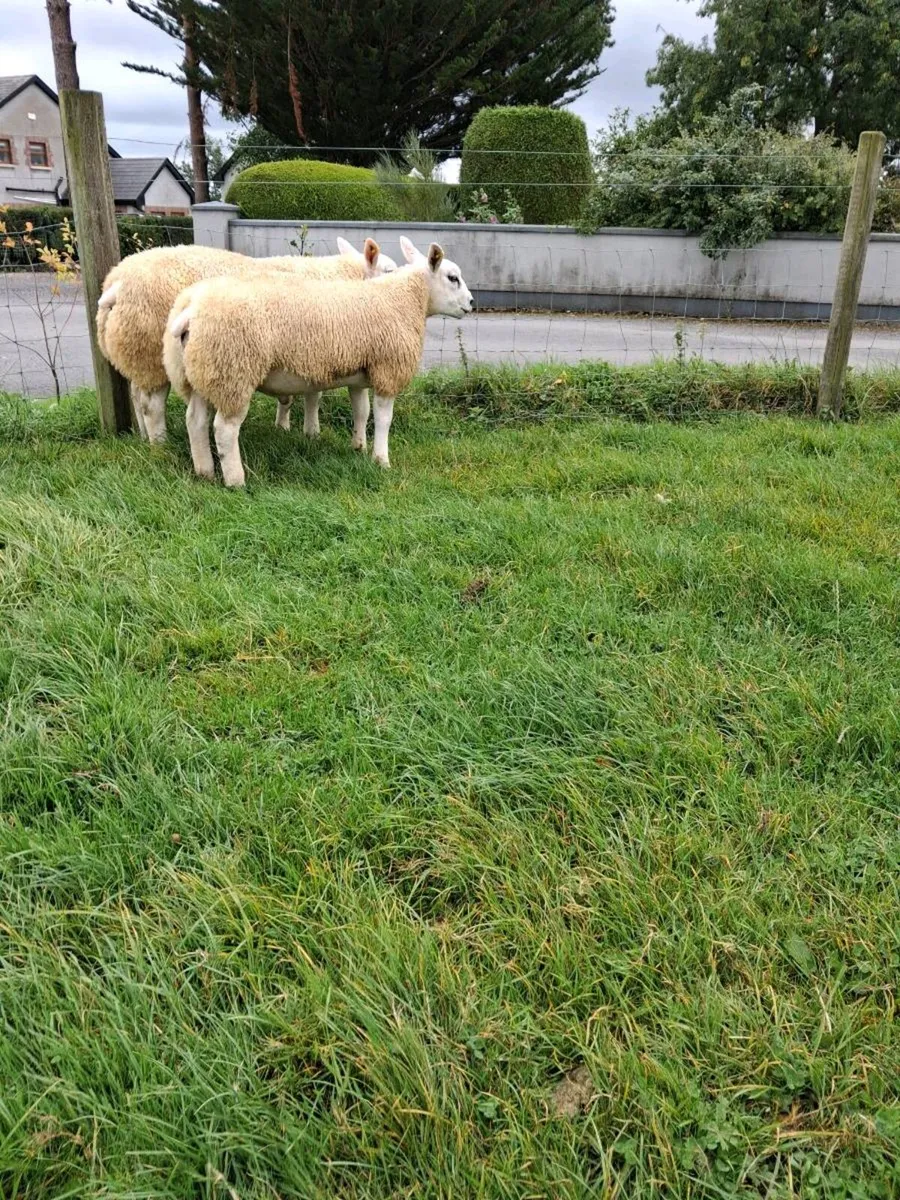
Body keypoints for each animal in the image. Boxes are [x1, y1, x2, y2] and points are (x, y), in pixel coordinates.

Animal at [96, 237, 397, 443]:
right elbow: (313, 397)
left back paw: (143, 436)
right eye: (390, 271)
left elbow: (297, 396)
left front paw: (285, 427)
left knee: (137, 397)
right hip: (151, 355)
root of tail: (115, 284)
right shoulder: (314, 351)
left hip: (135, 352)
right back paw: (160, 442)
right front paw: (310, 431)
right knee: (152, 406)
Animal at [162, 236, 473, 487]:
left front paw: (358, 446)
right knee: (225, 430)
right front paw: (381, 460)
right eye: (452, 277)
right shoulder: (388, 370)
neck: (404, 300)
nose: (471, 304)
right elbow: (384, 419)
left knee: (195, 421)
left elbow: (362, 412)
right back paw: (235, 480)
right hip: (233, 370)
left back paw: (204, 471)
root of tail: (191, 309)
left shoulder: (360, 374)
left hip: (201, 371)